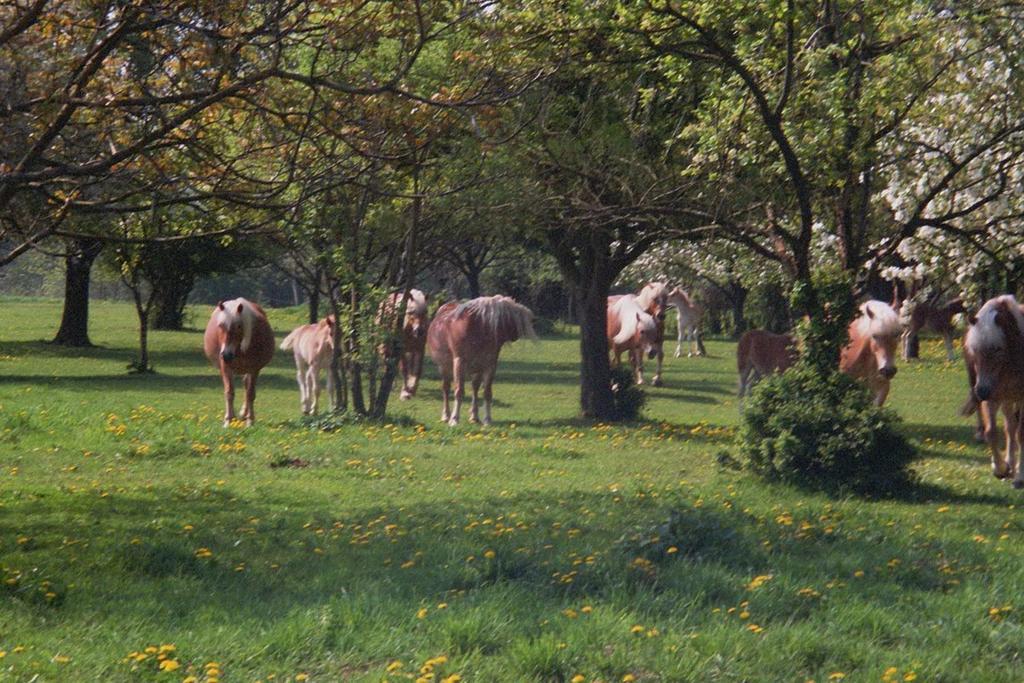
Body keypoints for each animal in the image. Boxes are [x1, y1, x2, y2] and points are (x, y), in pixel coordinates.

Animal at [202, 299, 276, 428]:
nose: (226, 354)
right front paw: (228, 420)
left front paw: (250, 420)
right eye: (220, 325)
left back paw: (245, 414)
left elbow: (250, 394)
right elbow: (229, 392)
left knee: (247, 388)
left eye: (239, 326)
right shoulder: (226, 368)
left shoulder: (254, 369)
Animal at [425, 294, 536, 423]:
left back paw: (474, 416)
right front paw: (454, 418)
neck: (478, 330)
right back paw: (446, 415)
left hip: (476, 369)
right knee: (446, 389)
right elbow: (459, 391)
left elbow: (487, 392)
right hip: (444, 367)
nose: (532, 319)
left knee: (475, 388)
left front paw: (487, 419)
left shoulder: (490, 365)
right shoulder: (459, 362)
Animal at [958, 296, 1024, 483]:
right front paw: (1000, 468)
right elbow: (991, 432)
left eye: (997, 348)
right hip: (1006, 398)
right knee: (1009, 427)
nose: (981, 391)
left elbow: (1021, 433)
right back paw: (1009, 462)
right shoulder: (993, 397)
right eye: (974, 349)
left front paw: (1020, 476)